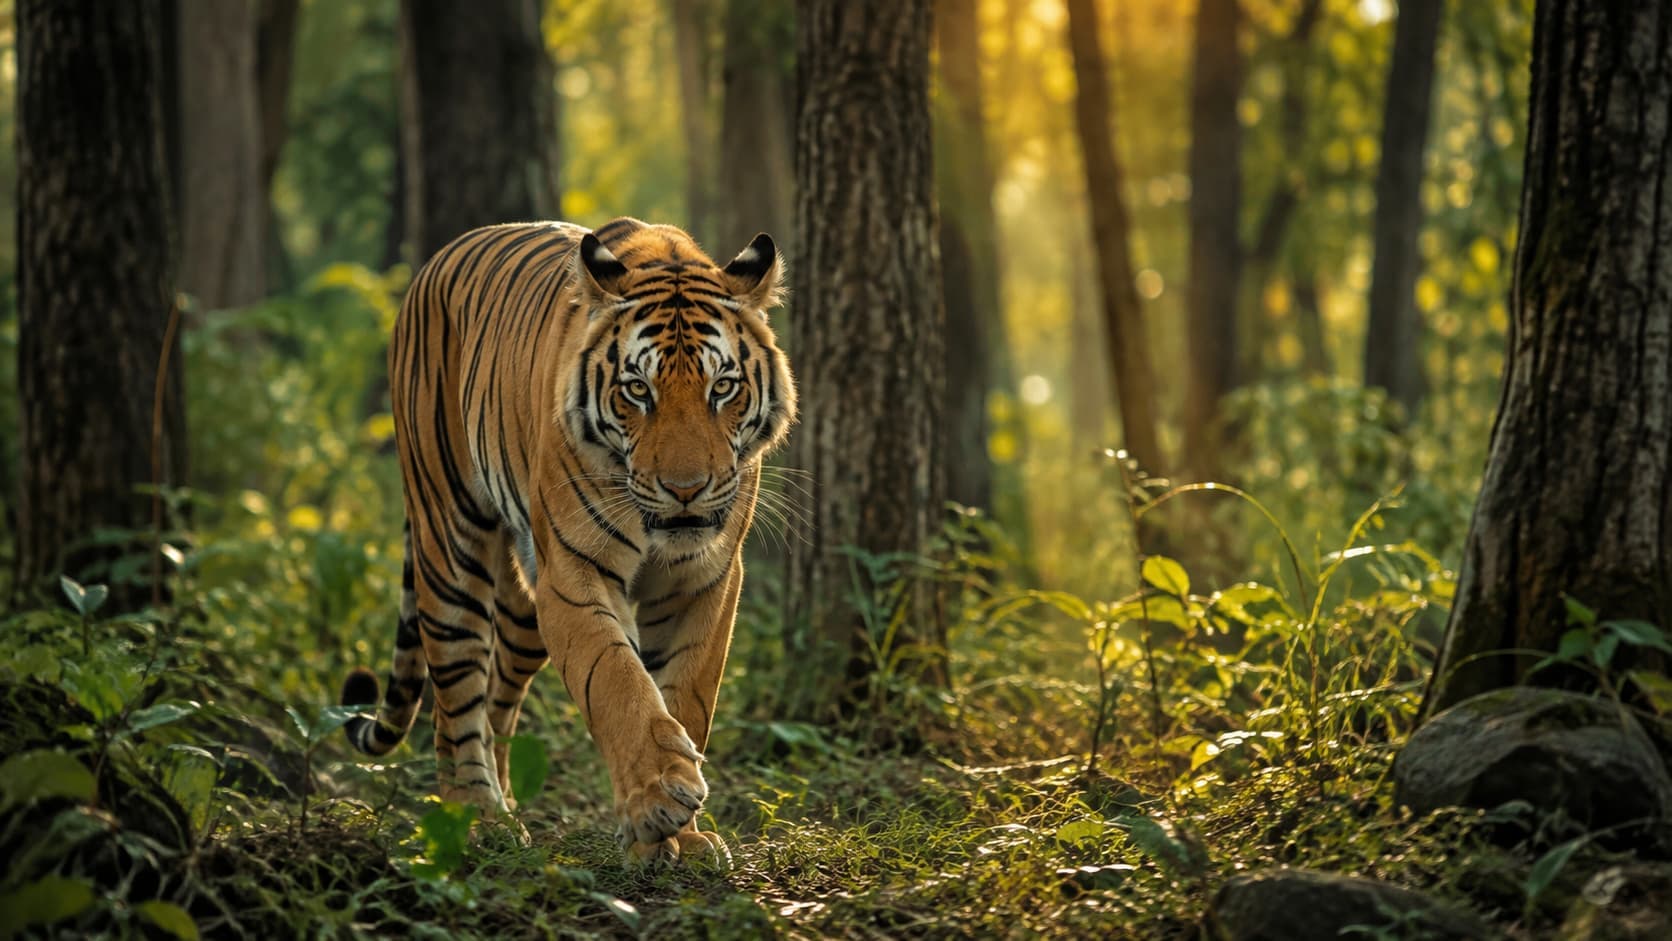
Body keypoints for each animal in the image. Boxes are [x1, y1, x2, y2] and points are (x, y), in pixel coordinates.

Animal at [339, 217, 795, 862]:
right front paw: (658, 798)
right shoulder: (575, 578)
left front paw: (684, 838)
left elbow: (686, 695)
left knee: (498, 704)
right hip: (449, 542)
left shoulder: (705, 581)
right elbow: (616, 679)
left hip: (524, 607)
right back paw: (477, 818)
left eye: (723, 388)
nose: (685, 490)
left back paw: (505, 808)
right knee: (455, 698)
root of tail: (439, 258)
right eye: (638, 391)